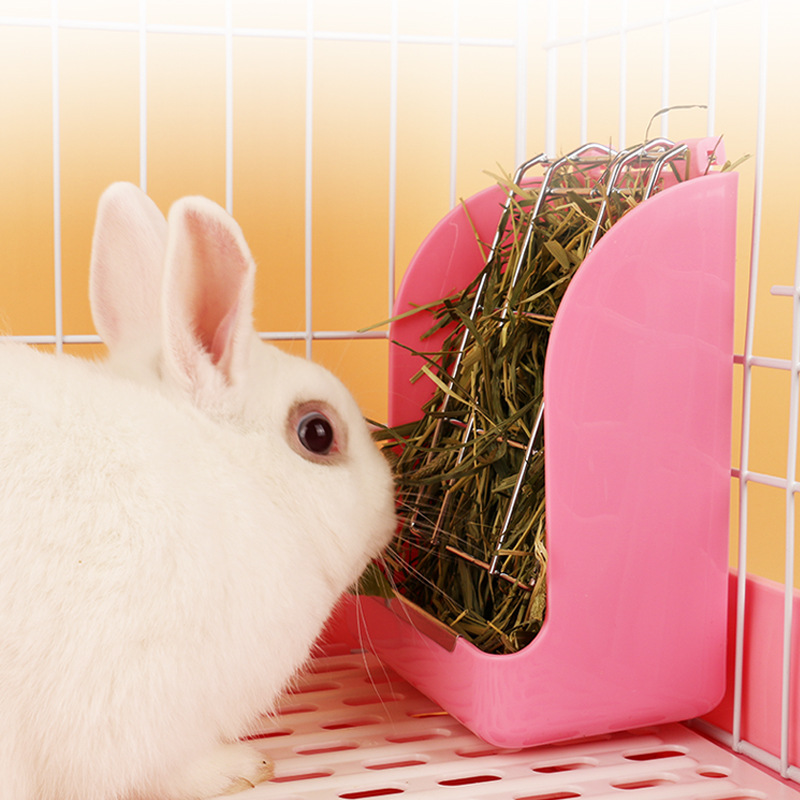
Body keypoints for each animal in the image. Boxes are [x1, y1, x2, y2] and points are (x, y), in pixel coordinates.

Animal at [0, 182, 397, 800]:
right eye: (317, 433)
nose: (390, 507)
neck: (229, 472)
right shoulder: (128, 707)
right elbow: (163, 769)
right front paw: (241, 768)